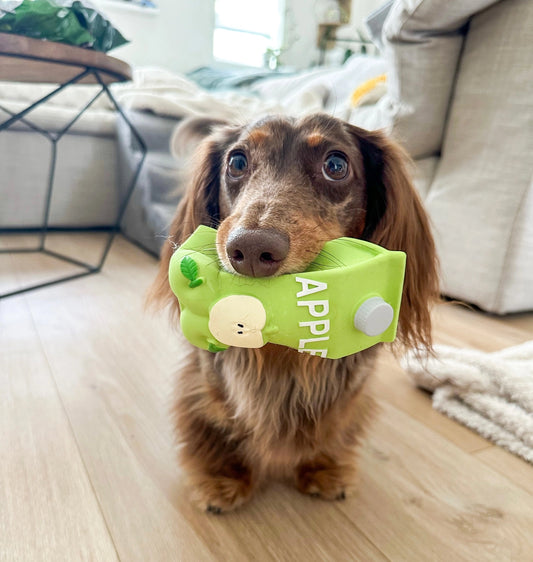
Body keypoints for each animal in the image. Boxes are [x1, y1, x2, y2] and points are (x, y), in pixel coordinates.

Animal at [150, 112, 436, 512]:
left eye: (336, 165)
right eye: (237, 162)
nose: (251, 250)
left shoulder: (350, 387)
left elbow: (336, 421)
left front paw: (325, 467)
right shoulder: (207, 377)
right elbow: (217, 417)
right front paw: (222, 476)